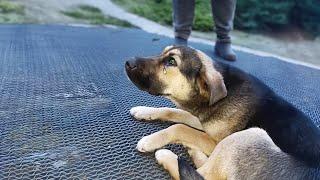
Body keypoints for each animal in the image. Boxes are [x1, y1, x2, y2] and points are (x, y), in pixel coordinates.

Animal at [124, 45, 320, 179]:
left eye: (171, 62)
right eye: (162, 54)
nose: (128, 62)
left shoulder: (215, 141)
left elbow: (180, 127)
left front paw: (150, 140)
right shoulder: (203, 120)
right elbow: (173, 112)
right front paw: (143, 110)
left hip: (248, 137)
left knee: (204, 175)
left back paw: (166, 154)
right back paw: (193, 150)